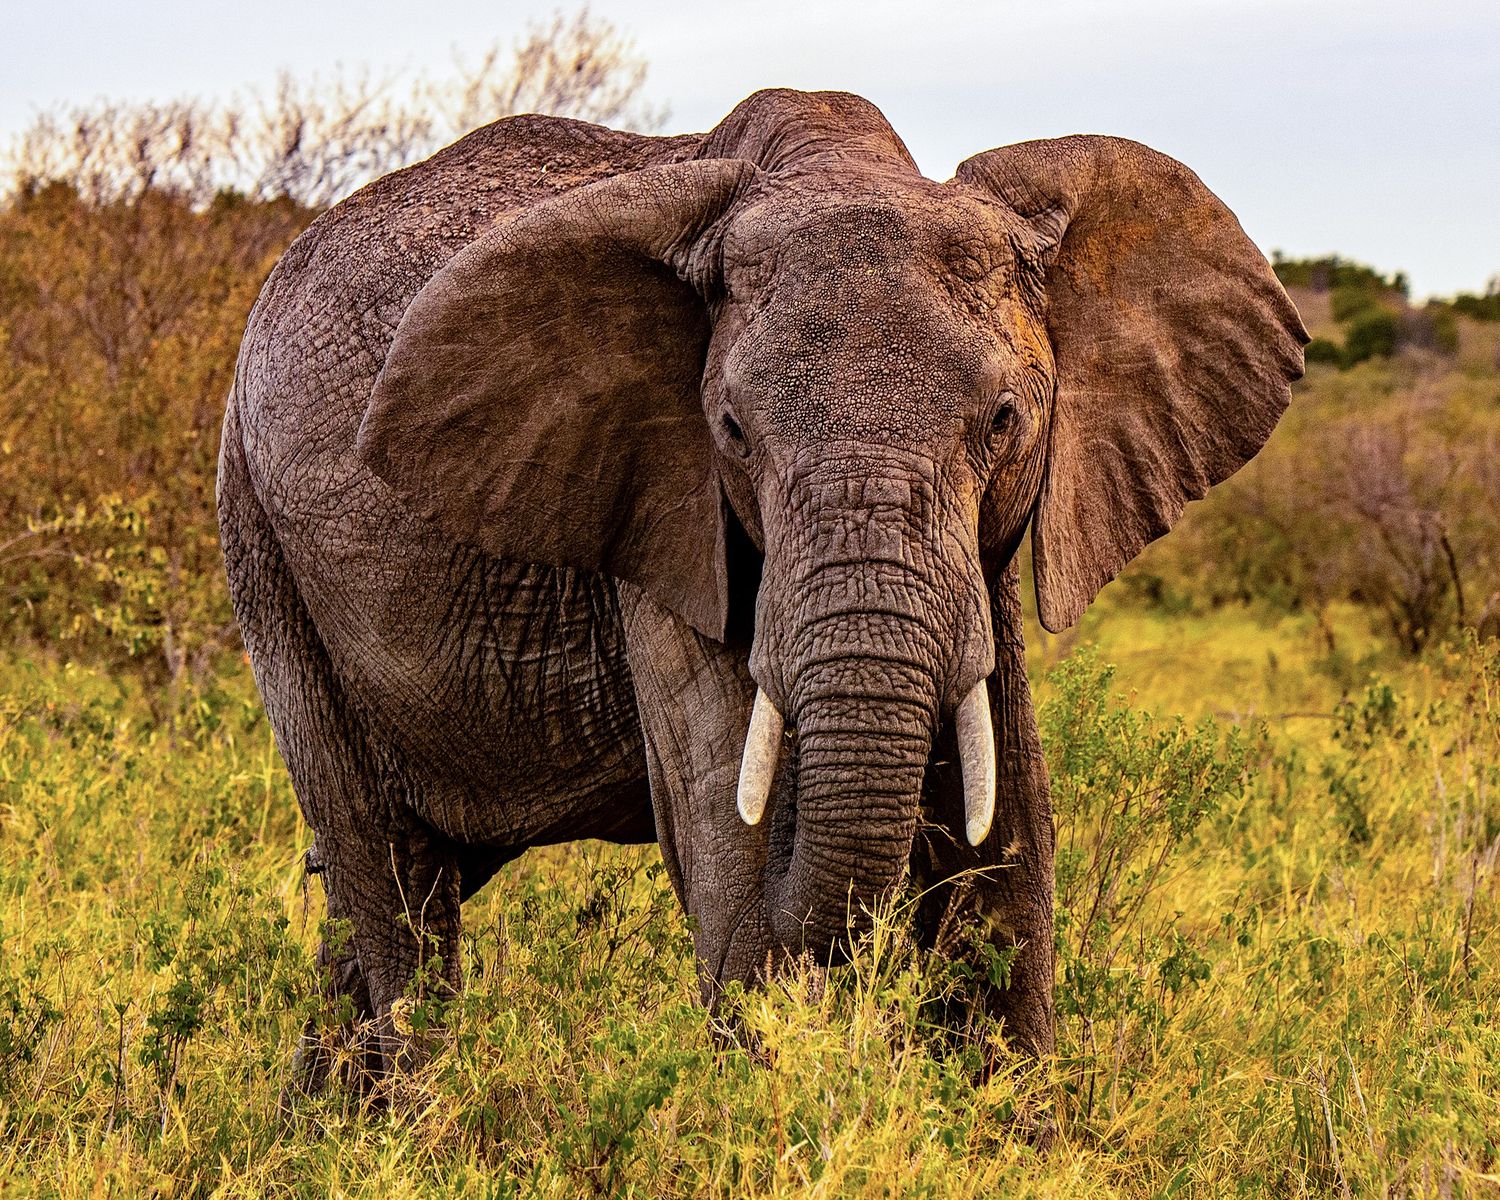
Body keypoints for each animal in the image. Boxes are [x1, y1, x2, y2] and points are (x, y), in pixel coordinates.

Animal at [217, 87, 1305, 1081]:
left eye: (1003, 419)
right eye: (734, 431)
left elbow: (1012, 838)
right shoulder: (663, 510)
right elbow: (726, 833)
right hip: (263, 546)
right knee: (394, 892)